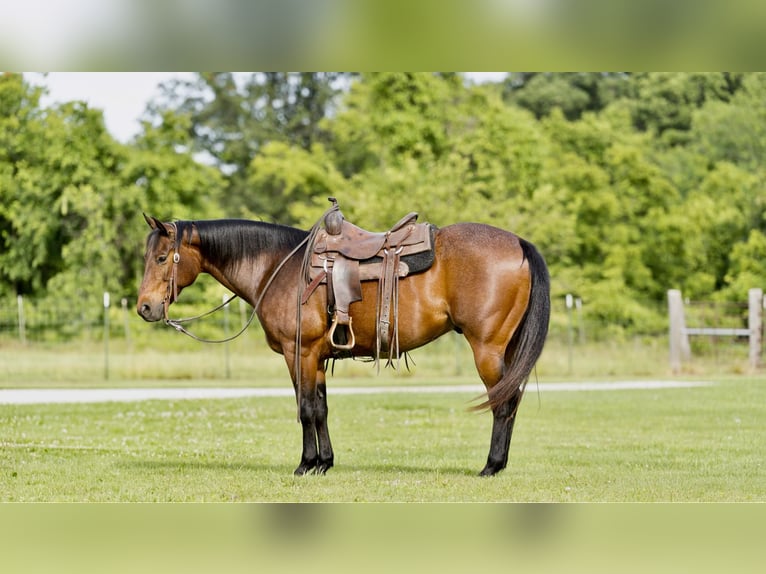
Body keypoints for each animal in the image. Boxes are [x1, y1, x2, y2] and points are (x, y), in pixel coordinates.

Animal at [137, 211, 550, 476]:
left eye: (162, 257)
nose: (145, 307)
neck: (278, 268)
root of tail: (518, 242)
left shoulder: (299, 353)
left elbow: (305, 408)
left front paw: (306, 464)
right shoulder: (317, 357)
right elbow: (321, 408)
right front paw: (324, 462)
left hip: (487, 349)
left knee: (503, 403)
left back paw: (492, 466)